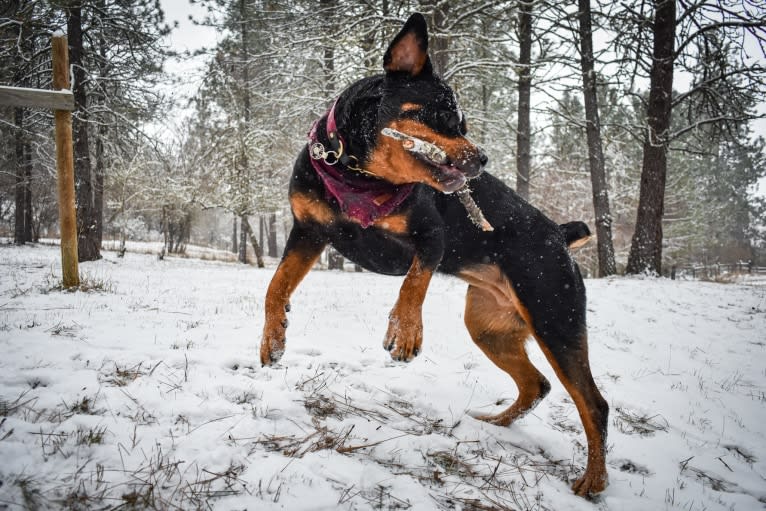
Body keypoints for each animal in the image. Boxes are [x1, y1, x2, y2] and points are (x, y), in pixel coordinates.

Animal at [260, 13, 608, 500]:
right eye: (444, 116)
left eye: (463, 122)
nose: (483, 159)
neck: (358, 176)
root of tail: (559, 234)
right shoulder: (308, 232)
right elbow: (275, 286)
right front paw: (273, 338)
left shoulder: (432, 238)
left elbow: (415, 281)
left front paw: (404, 333)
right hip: (488, 327)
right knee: (536, 384)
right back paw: (495, 422)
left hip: (555, 317)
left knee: (594, 404)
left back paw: (593, 480)